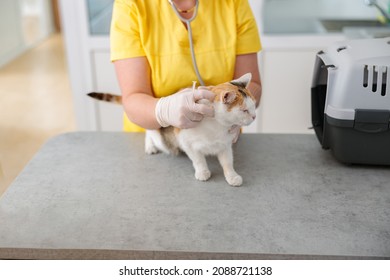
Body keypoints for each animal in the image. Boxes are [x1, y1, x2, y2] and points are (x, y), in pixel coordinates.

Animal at [88, 72, 256, 186]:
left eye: (254, 106)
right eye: (244, 110)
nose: (254, 116)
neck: (217, 127)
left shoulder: (225, 145)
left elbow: (227, 162)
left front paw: (232, 176)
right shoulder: (186, 142)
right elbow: (198, 159)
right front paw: (202, 172)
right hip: (162, 136)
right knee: (149, 132)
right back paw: (150, 146)